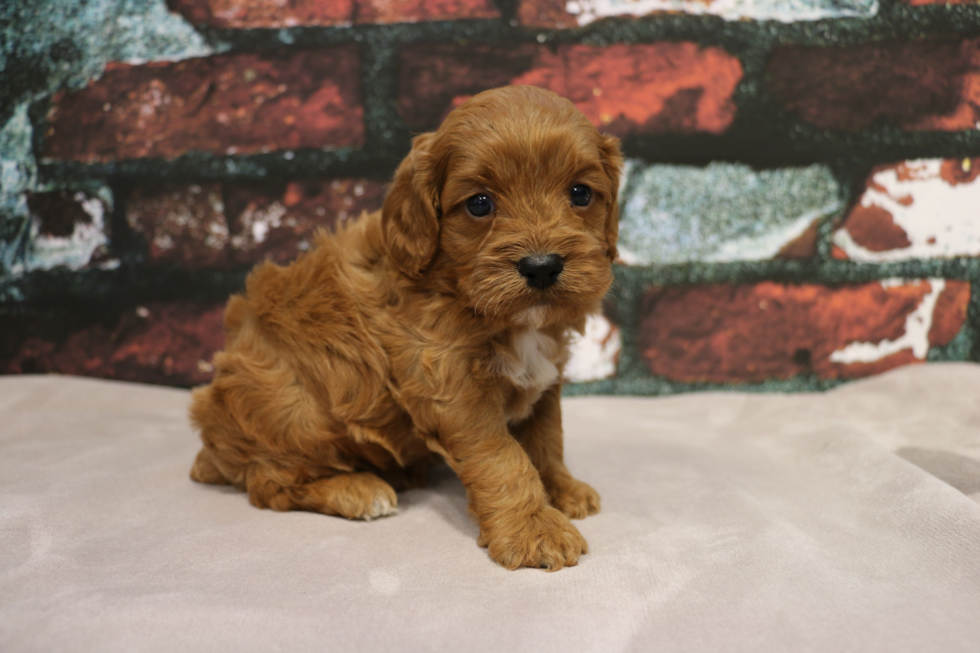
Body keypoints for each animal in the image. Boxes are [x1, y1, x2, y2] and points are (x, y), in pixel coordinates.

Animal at [188, 84, 624, 568]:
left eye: (581, 194)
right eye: (480, 203)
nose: (542, 266)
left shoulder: (544, 378)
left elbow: (546, 437)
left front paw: (562, 489)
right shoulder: (448, 384)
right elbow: (502, 456)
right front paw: (533, 529)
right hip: (287, 404)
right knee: (269, 484)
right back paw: (358, 489)